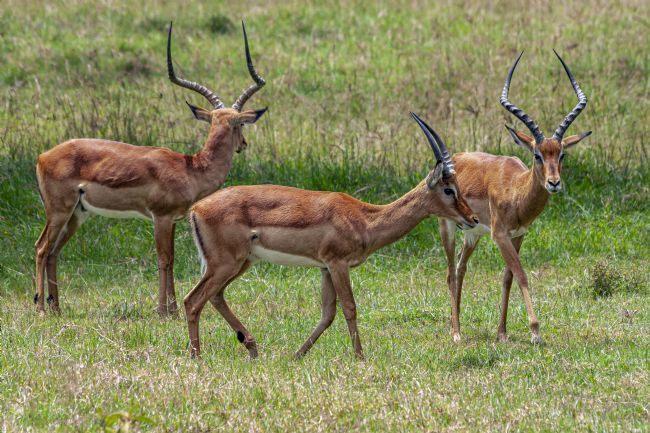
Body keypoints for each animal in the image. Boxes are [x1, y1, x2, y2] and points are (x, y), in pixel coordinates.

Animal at [34, 22, 267, 316]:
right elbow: (164, 259)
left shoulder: (175, 220)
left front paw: (173, 309)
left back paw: (57, 308)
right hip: (59, 212)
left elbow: (173, 259)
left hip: (76, 215)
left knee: (53, 252)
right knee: (41, 248)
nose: (243, 144)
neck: (192, 168)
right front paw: (164, 311)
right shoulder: (161, 217)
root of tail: (43, 156)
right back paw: (41, 308)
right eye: (241, 125)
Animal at [185, 113, 479, 359]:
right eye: (449, 189)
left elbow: (327, 314)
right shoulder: (338, 264)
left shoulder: (324, 267)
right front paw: (360, 357)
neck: (365, 218)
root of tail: (196, 208)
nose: (473, 219)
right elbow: (350, 307)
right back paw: (197, 357)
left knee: (215, 296)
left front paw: (296, 356)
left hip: (240, 263)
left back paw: (251, 347)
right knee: (193, 300)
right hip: (226, 264)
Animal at [438, 50, 591, 344]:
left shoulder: (519, 234)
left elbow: (507, 277)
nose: (554, 183)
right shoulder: (500, 235)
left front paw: (502, 332)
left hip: (472, 232)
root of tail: (456, 160)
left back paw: (456, 323)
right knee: (451, 272)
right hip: (448, 227)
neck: (515, 189)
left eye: (562, 154)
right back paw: (455, 333)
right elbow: (521, 275)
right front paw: (535, 331)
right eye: (537, 154)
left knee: (461, 268)